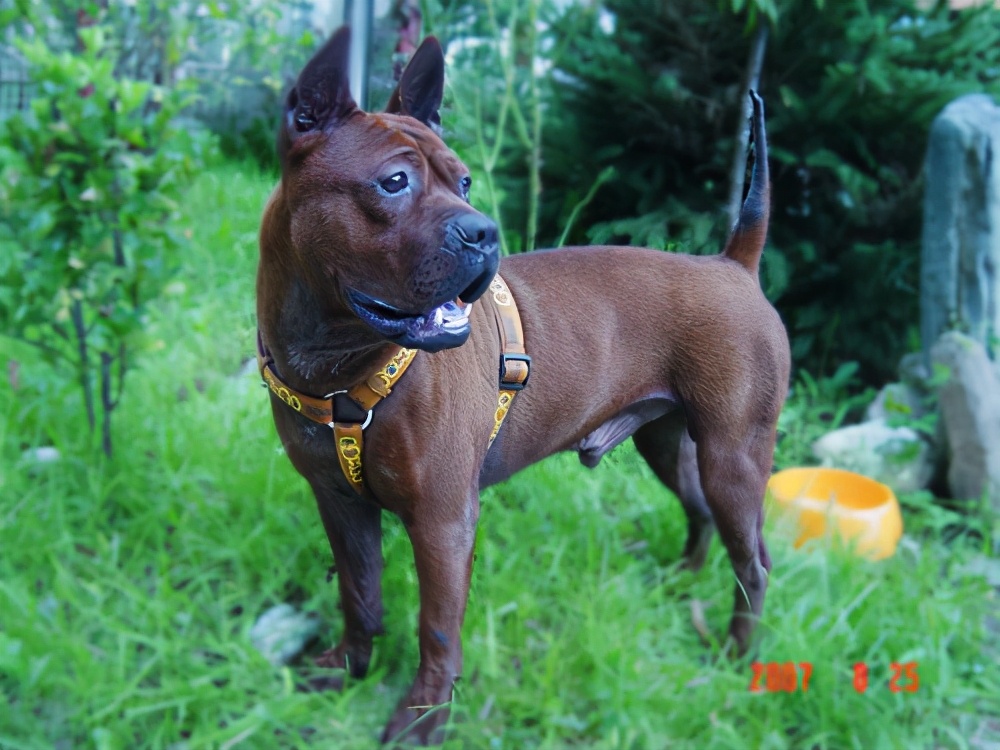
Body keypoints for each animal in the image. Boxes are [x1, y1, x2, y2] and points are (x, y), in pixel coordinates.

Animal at [256, 27, 788, 748]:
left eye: (464, 181)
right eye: (393, 182)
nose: (483, 231)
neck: (340, 367)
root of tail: (735, 262)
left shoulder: (443, 522)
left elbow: (437, 628)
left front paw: (424, 717)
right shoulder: (339, 503)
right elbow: (359, 595)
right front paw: (348, 670)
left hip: (734, 455)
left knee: (752, 560)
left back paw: (736, 656)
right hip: (668, 442)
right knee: (701, 512)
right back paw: (680, 584)